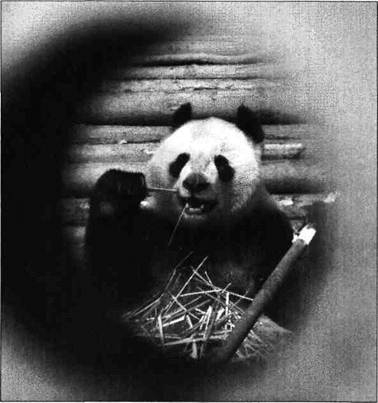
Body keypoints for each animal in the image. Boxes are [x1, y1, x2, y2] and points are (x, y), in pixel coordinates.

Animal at [85, 103, 292, 326]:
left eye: (221, 163)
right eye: (181, 159)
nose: (194, 183)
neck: (200, 229)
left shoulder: (263, 230)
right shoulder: (156, 229)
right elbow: (115, 281)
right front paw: (122, 188)